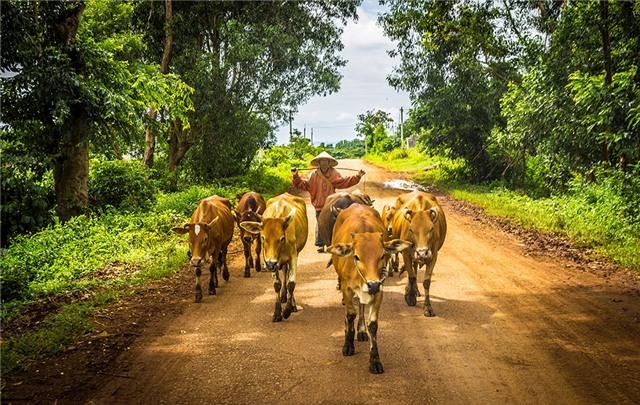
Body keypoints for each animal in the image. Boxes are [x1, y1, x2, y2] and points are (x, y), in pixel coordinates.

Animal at [241, 193, 308, 322]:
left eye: (282, 238)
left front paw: (287, 311)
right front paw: (277, 313)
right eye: (262, 237)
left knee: (287, 275)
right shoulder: (269, 259)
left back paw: (291, 303)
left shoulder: (293, 257)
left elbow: (291, 283)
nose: (271, 264)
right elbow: (277, 284)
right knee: (284, 272)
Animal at [324, 204, 410, 374]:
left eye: (382, 255)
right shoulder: (347, 287)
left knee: (362, 305)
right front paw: (348, 344)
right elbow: (350, 314)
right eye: (356, 256)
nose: (372, 284)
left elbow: (373, 324)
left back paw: (361, 330)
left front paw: (374, 360)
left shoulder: (379, 291)